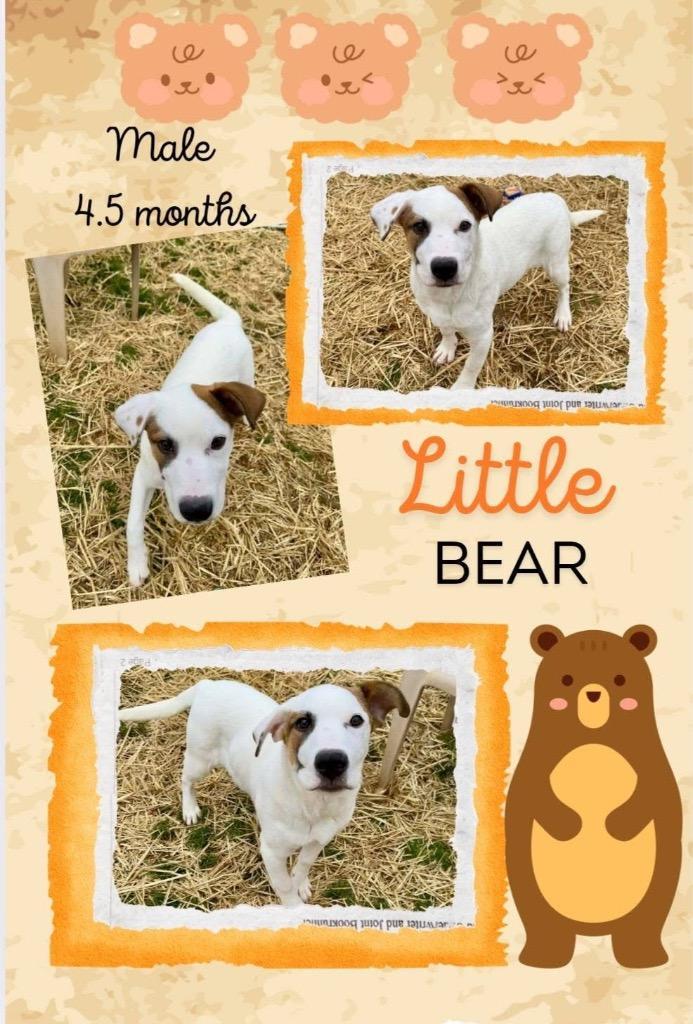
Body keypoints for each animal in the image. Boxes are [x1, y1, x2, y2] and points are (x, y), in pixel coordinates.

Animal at [506, 625, 682, 968]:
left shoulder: (656, 771)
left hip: (655, 895)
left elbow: (650, 794)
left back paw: (643, 959)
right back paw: (543, 958)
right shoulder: (531, 772)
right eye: (566, 679)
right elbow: (538, 796)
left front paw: (615, 826)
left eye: (620, 679)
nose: (593, 693)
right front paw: (571, 826)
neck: (593, 738)